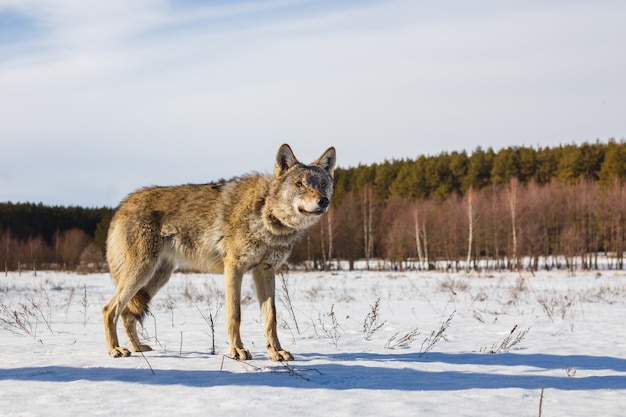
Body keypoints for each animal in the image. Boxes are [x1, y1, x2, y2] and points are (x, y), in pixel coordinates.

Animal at [102, 142, 336, 358]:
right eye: (299, 184)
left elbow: (271, 317)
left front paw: (276, 353)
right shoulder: (234, 267)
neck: (264, 214)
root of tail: (120, 207)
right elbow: (235, 315)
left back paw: (137, 348)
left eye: (323, 184)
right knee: (109, 310)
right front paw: (238, 351)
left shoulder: (265, 271)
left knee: (127, 314)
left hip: (156, 279)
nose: (323, 201)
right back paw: (115, 349)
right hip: (141, 274)